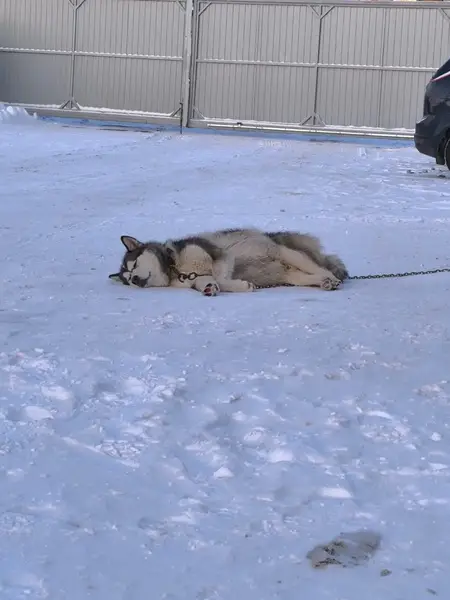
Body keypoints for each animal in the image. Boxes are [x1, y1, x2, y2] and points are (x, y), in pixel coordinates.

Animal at [108, 227, 348, 296]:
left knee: (323, 268)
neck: (175, 267)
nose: (136, 280)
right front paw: (209, 287)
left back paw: (331, 279)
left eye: (134, 265)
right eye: (128, 279)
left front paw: (233, 284)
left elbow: (222, 276)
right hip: (291, 275)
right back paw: (323, 282)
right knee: (306, 277)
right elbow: (204, 281)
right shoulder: (191, 278)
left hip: (288, 253)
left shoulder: (220, 255)